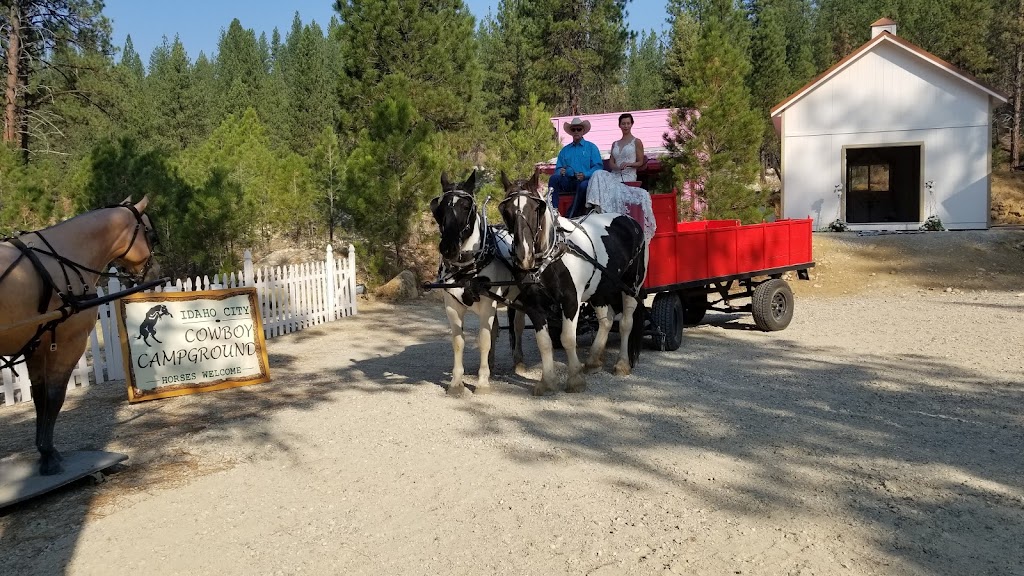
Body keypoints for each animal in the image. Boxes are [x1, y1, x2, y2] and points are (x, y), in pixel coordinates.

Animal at [1, 194, 156, 473]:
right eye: (150, 233)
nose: (155, 270)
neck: (59, 260)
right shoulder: (68, 343)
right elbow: (54, 396)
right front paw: (49, 455)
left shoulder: (37, 346)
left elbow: (39, 396)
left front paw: (46, 451)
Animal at [432, 170, 528, 393]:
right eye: (439, 209)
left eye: (466, 207)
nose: (448, 247)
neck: (467, 266)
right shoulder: (452, 306)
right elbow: (459, 341)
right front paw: (456, 382)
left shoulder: (487, 304)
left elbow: (483, 340)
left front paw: (483, 382)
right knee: (495, 330)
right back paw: (490, 362)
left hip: (519, 298)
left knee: (518, 327)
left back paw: (518, 361)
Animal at [497, 171, 647, 393]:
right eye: (506, 210)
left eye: (536, 208)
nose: (524, 255)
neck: (551, 256)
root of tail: (630, 220)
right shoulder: (533, 305)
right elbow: (544, 342)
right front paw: (547, 381)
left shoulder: (570, 301)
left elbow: (568, 339)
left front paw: (574, 379)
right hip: (599, 289)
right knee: (606, 320)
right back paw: (593, 360)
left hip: (631, 286)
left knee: (625, 323)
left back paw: (621, 364)